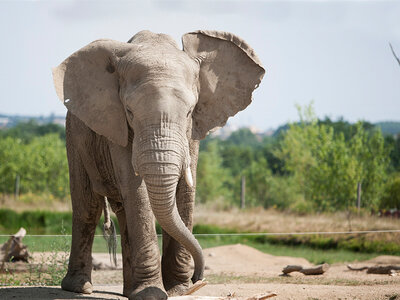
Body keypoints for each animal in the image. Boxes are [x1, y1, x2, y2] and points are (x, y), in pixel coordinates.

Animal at [52, 30, 266, 300]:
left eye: (190, 112)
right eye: (130, 111)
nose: (199, 280)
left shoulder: (193, 131)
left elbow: (185, 191)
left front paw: (179, 290)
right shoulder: (116, 125)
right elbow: (136, 190)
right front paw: (153, 294)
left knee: (121, 209)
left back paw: (128, 291)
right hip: (74, 136)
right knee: (87, 207)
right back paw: (81, 288)